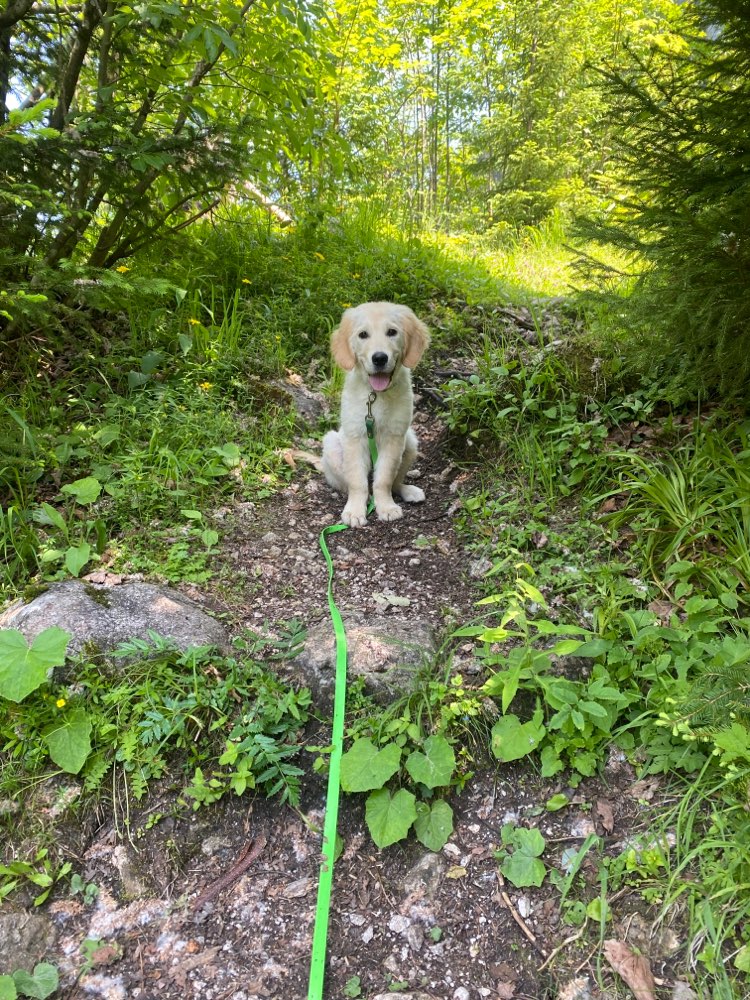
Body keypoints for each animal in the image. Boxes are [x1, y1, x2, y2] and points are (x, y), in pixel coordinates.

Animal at [320, 300, 432, 528]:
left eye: (392, 332)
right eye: (363, 335)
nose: (379, 358)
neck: (376, 395)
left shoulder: (394, 437)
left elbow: (384, 479)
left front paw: (386, 507)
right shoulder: (354, 437)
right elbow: (358, 481)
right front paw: (355, 510)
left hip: (410, 442)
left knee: (395, 482)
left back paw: (407, 491)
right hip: (332, 445)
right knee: (350, 483)